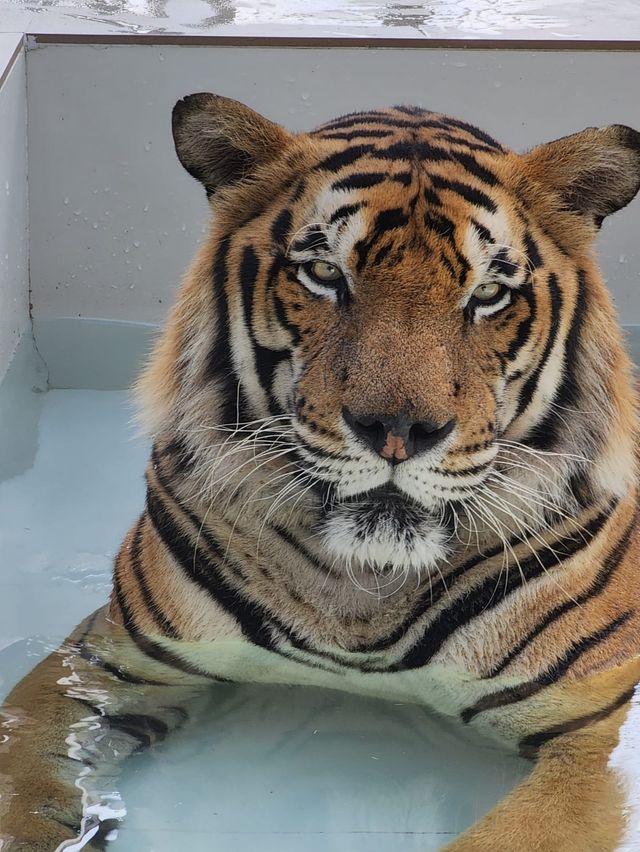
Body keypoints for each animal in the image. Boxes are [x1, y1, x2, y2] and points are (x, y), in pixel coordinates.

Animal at [1, 93, 640, 852]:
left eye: (488, 294)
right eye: (327, 276)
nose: (399, 429)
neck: (363, 590)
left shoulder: (598, 734)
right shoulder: (113, 658)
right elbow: (22, 768)